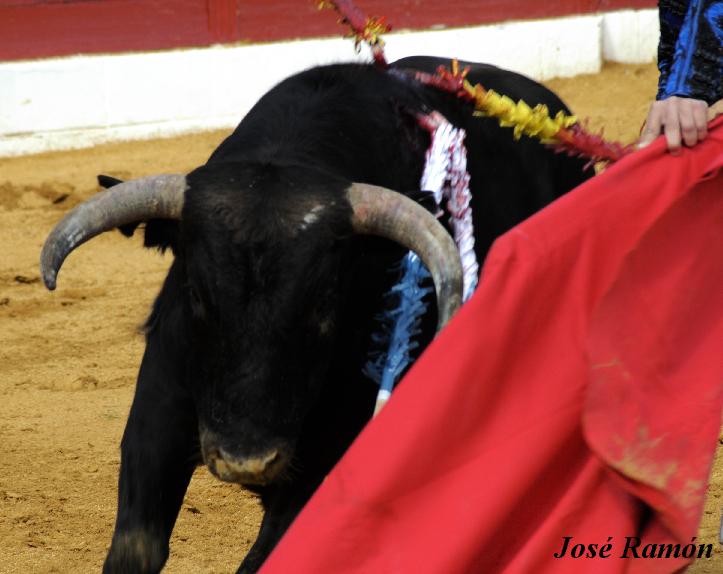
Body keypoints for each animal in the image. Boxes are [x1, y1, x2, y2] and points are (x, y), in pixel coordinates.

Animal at [39, 56, 592, 572]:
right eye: (195, 293)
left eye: (326, 302)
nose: (246, 461)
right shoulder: (157, 417)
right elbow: (136, 548)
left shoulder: (325, 464)